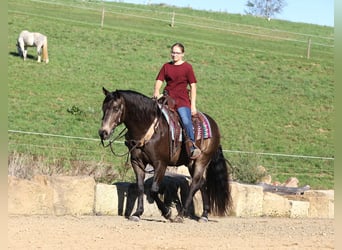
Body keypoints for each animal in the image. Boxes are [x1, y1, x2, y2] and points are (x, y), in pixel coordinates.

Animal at [99, 88, 232, 223]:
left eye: (116, 108)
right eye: (103, 107)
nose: (103, 132)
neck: (149, 127)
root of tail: (213, 124)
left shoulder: (160, 163)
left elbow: (153, 190)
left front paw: (167, 212)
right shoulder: (137, 162)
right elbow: (140, 187)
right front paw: (137, 213)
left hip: (202, 160)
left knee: (195, 184)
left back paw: (181, 215)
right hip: (191, 163)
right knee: (202, 183)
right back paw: (204, 215)